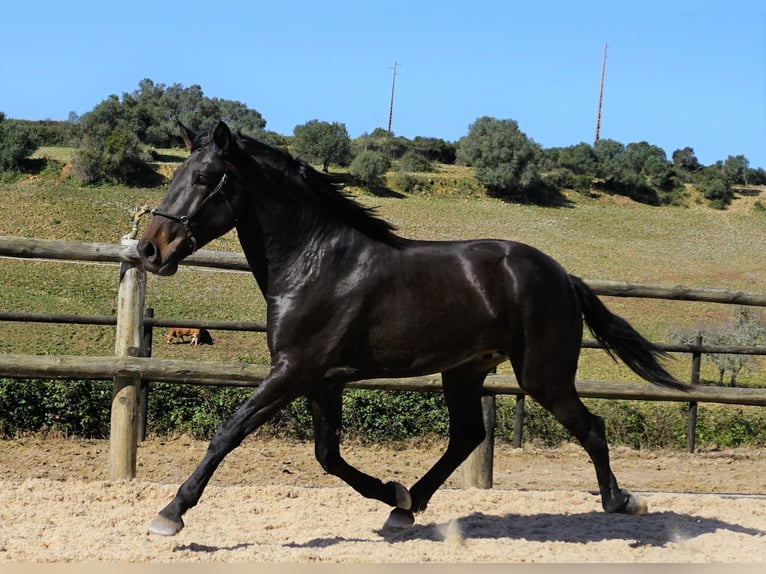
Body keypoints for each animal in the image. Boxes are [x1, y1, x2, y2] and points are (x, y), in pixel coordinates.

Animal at [135, 122, 688, 540]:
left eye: (205, 178)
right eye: (177, 174)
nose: (149, 249)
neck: (316, 263)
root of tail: (563, 276)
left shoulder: (293, 371)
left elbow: (229, 432)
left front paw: (170, 514)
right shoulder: (322, 380)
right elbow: (327, 456)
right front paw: (392, 491)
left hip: (542, 377)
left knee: (590, 427)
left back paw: (621, 501)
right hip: (465, 371)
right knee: (467, 436)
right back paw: (406, 506)